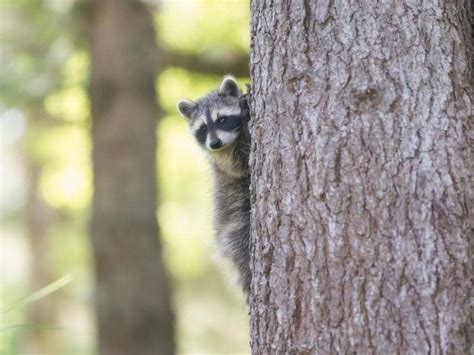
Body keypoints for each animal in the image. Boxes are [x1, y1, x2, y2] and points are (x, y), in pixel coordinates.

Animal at [178, 76, 252, 294]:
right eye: (203, 128)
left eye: (223, 120)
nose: (215, 143)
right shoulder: (225, 160)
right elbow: (240, 164)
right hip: (235, 223)